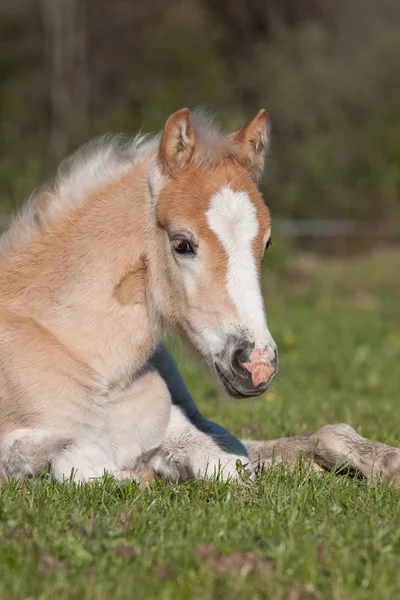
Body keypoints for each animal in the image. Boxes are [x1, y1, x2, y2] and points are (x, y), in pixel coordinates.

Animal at [0, 106, 400, 482]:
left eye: (267, 243)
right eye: (182, 244)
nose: (257, 365)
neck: (95, 361)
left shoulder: (179, 427)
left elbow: (229, 460)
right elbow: (82, 456)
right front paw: (138, 478)